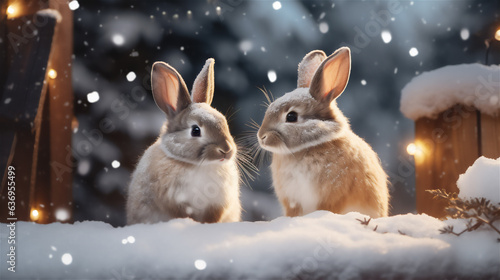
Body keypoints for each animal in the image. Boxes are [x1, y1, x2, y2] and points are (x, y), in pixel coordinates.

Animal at [127, 58, 240, 224]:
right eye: (195, 130)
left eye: (224, 122)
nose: (226, 150)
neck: (199, 165)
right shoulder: (172, 200)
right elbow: (180, 213)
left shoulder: (218, 203)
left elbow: (213, 216)